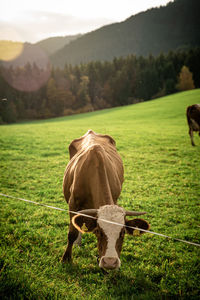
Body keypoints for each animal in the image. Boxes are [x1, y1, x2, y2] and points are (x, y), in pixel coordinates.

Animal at [61, 130, 149, 270]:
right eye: (99, 232)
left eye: (122, 233)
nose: (110, 262)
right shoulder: (73, 204)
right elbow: (72, 232)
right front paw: (66, 258)